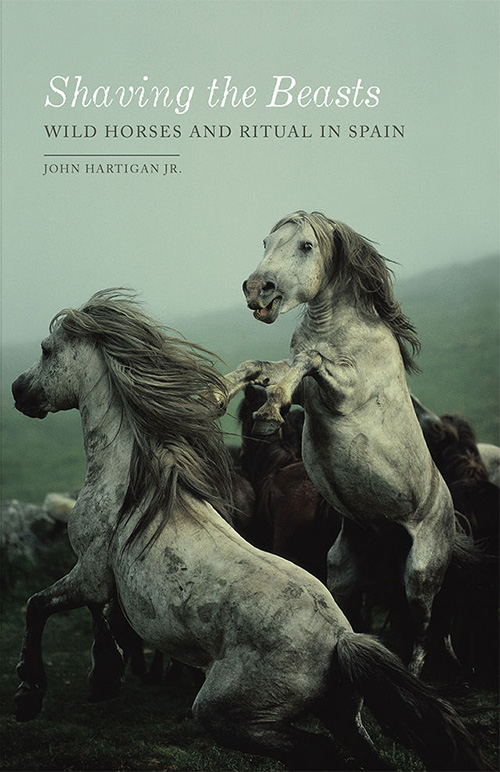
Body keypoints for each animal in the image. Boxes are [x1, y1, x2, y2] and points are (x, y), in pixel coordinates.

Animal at [11, 289, 485, 771]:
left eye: (46, 350)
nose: (17, 391)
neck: (134, 480)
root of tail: (341, 640)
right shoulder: (101, 579)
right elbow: (94, 613)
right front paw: (103, 674)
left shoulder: (91, 571)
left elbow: (39, 606)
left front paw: (32, 693)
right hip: (342, 715)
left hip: (227, 712)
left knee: (318, 750)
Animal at [218, 211, 466, 676]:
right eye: (266, 242)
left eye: (306, 246)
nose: (257, 289)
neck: (340, 330)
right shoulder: (308, 391)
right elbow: (260, 365)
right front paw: (213, 395)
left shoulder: (344, 390)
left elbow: (308, 360)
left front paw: (269, 413)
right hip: (343, 569)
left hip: (421, 574)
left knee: (422, 629)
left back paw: (411, 674)